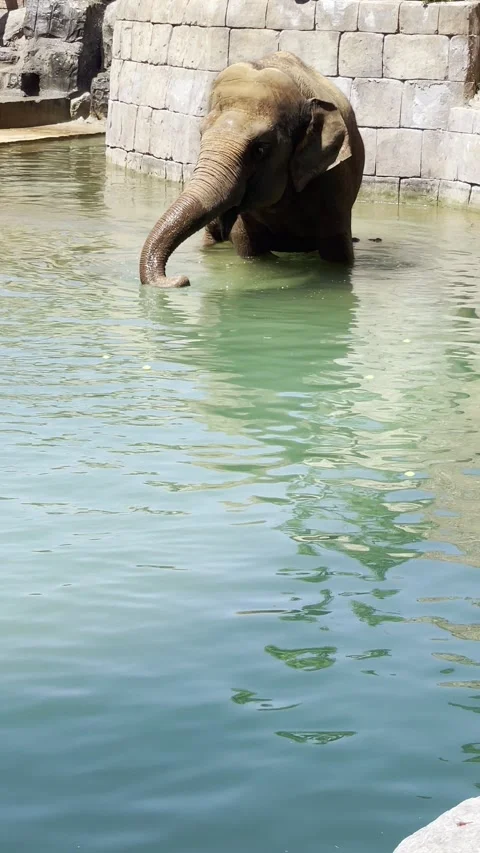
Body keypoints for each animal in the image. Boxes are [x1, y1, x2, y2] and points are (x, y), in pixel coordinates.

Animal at [140, 51, 365, 288]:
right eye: (201, 134)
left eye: (260, 149)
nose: (182, 279)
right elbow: (250, 250)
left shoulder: (335, 182)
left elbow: (337, 252)